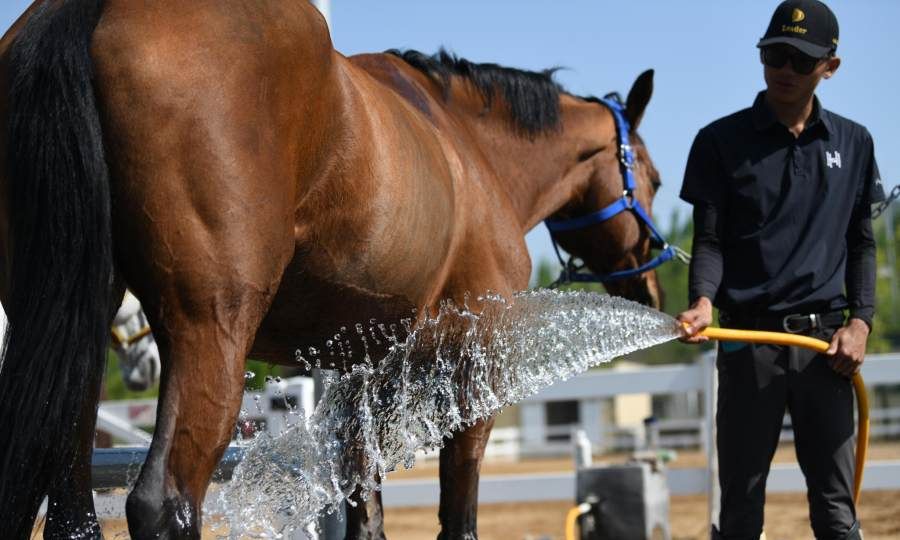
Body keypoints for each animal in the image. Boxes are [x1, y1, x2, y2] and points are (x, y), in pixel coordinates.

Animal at [0, 1, 665, 538]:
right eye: (655, 180)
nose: (652, 283)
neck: (467, 146)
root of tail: (88, 9)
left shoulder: (360, 367)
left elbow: (363, 504)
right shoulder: (473, 357)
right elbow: (458, 508)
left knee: (69, 511)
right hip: (209, 334)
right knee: (164, 504)